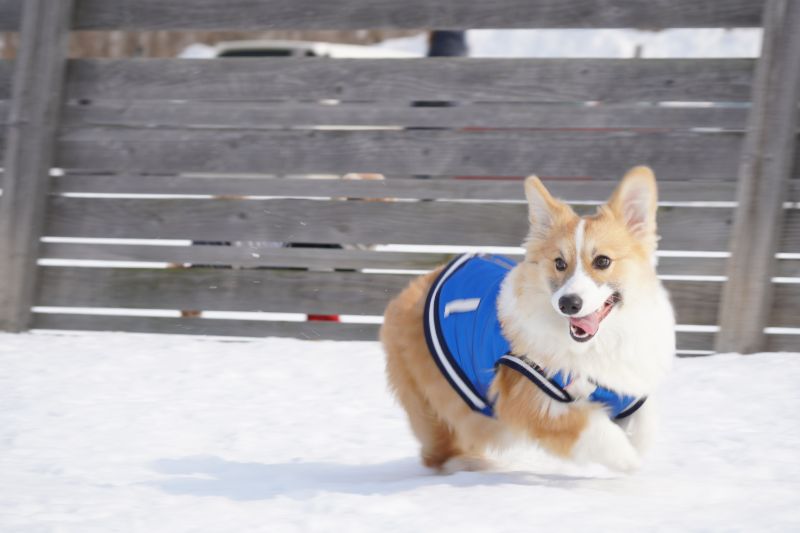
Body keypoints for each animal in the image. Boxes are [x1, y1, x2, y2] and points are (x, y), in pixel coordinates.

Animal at [382, 167, 676, 474]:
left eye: (603, 261)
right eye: (559, 263)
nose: (568, 303)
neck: (598, 342)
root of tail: (407, 293)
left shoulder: (628, 391)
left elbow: (645, 424)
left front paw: (639, 450)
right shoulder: (530, 398)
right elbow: (593, 430)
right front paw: (628, 460)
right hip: (444, 399)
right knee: (441, 447)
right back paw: (471, 464)